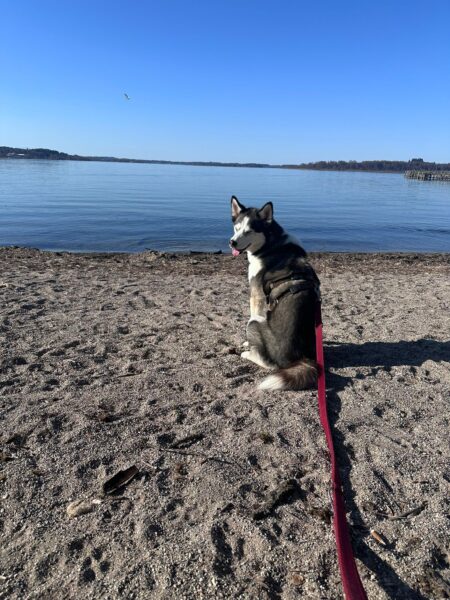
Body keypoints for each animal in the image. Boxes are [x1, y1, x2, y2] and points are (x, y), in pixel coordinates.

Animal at [230, 195, 320, 390]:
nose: (232, 242)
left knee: (269, 363)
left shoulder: (256, 295)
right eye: (237, 228)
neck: (270, 244)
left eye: (249, 231)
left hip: (254, 323)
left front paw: (248, 343)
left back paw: (248, 354)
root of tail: (299, 359)